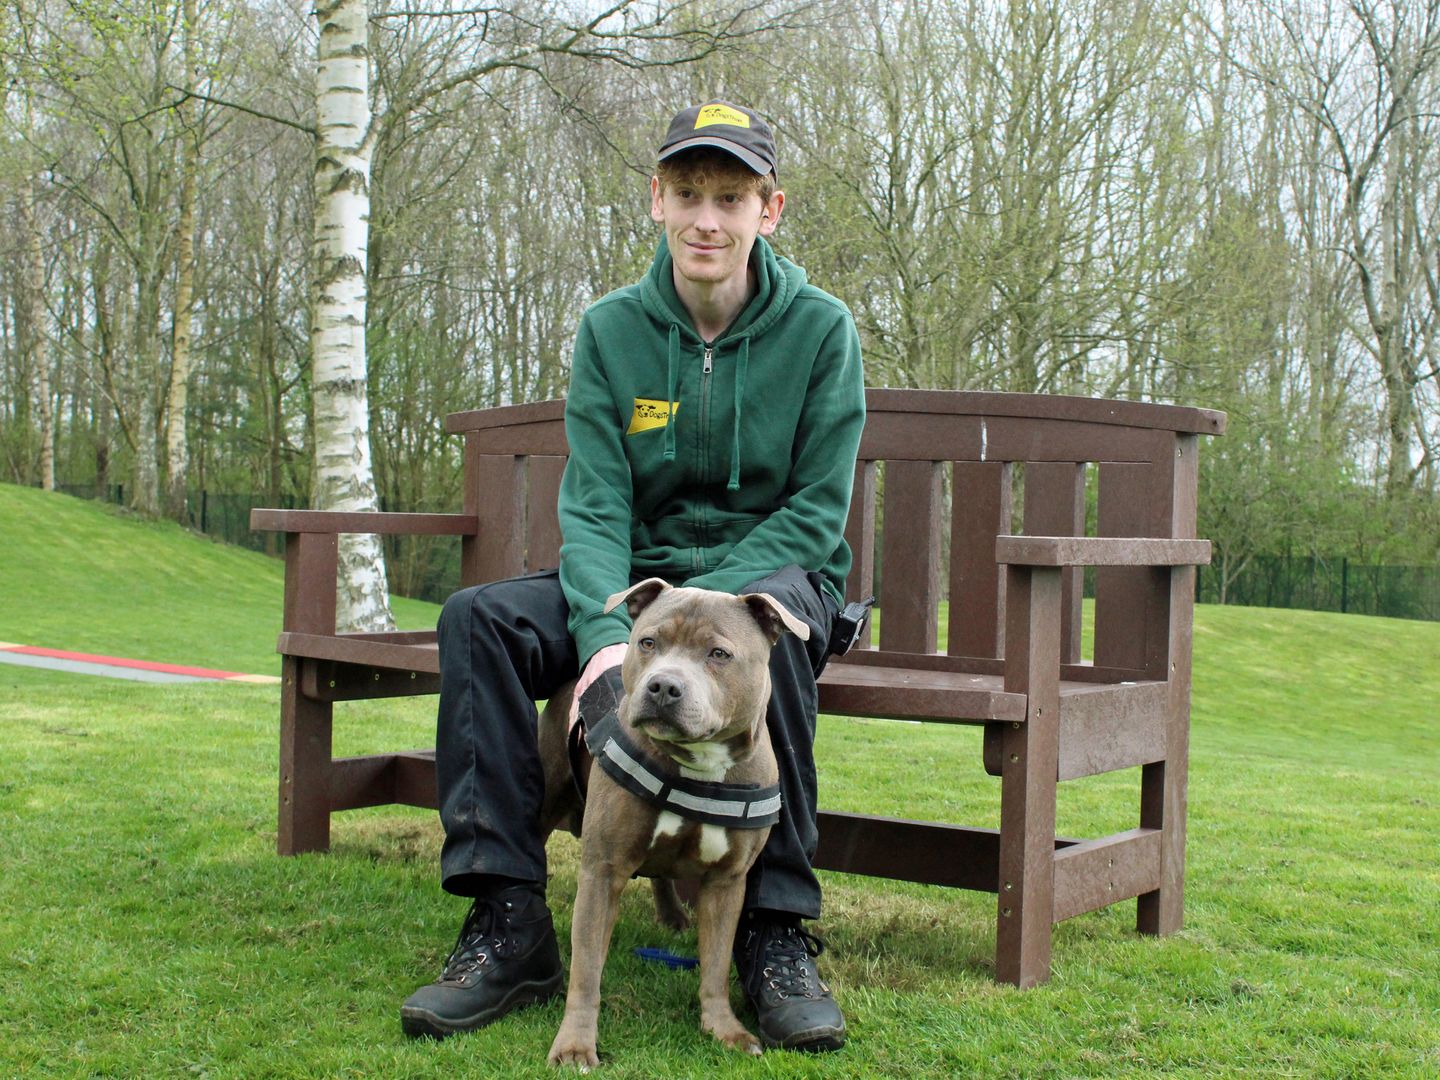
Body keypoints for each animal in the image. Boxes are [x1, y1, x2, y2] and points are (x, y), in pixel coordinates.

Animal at [538, 578, 812, 1071]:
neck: (697, 764)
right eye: (648, 642)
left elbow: (717, 964)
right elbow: (587, 969)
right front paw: (574, 1045)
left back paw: (671, 915)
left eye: (719, 654)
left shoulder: (727, 882)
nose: (663, 685)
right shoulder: (602, 870)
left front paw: (724, 1030)